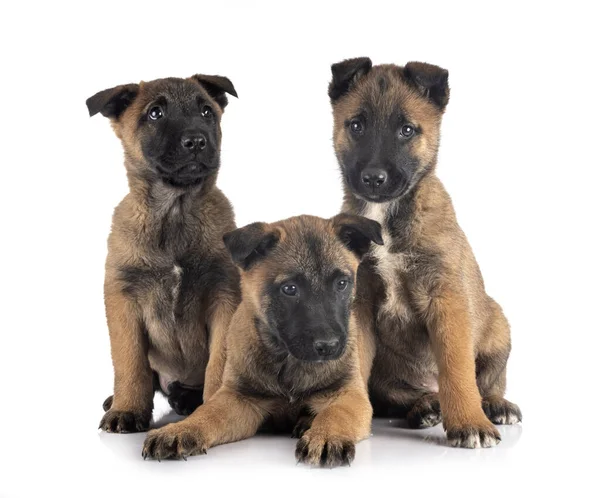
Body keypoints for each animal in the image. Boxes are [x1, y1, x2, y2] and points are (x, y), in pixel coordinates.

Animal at [86, 73, 239, 432]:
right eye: (155, 114)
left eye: (206, 111)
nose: (196, 141)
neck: (174, 212)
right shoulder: (123, 301)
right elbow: (130, 363)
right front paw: (127, 410)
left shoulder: (223, 298)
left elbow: (219, 363)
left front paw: (213, 410)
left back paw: (188, 400)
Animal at [142, 215, 382, 466]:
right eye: (289, 289)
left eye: (342, 283)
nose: (329, 346)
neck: (287, 361)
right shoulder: (239, 399)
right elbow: (208, 413)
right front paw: (179, 430)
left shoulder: (349, 394)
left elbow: (337, 413)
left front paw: (326, 435)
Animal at [328, 58, 520, 448]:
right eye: (356, 125)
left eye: (406, 130)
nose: (374, 177)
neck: (385, 218)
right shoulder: (359, 303)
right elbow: (354, 369)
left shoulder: (446, 299)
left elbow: (457, 368)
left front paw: (469, 422)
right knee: (405, 394)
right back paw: (425, 405)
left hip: (497, 325)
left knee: (488, 381)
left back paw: (494, 405)